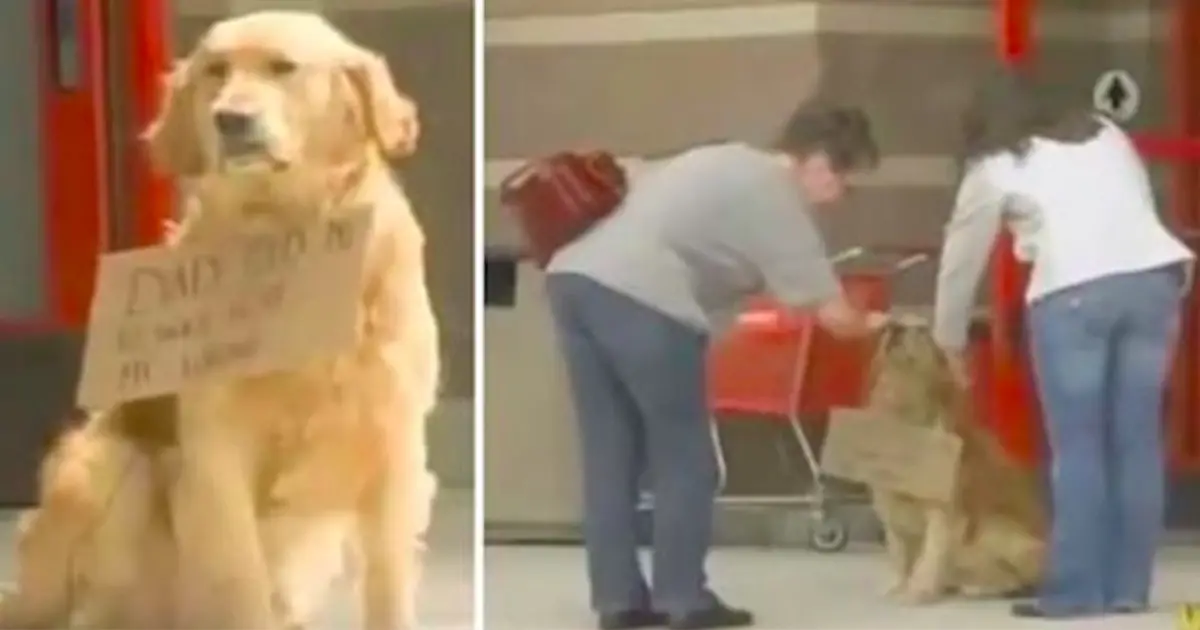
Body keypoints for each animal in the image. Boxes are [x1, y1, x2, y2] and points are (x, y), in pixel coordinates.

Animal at [0, 11, 441, 628]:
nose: (230, 119)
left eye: (283, 67)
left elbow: (388, 585)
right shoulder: (218, 451)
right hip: (101, 467)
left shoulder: (394, 443)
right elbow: (240, 577)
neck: (285, 232)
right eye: (216, 71)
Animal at [868, 321, 1046, 602]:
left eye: (922, 329)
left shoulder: (944, 514)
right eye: (889, 324)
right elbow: (900, 553)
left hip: (994, 527)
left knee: (1023, 581)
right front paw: (899, 586)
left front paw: (918, 590)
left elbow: (930, 555)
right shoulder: (889, 507)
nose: (893, 327)